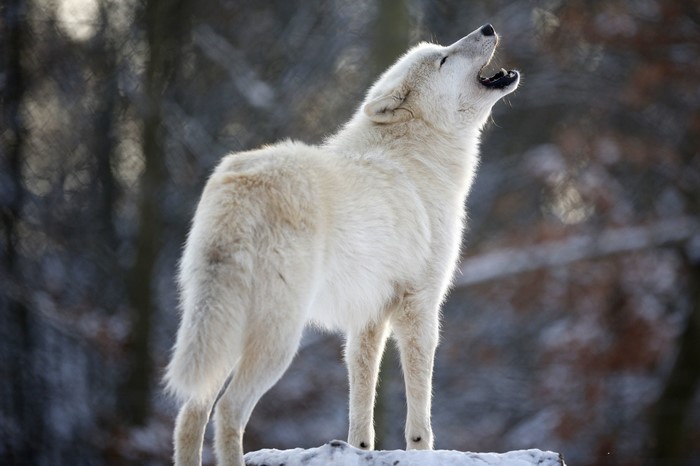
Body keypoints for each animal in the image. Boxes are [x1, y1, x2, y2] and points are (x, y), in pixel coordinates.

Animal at [166, 23, 519, 466]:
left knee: (189, 413)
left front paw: (358, 449)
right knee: (228, 410)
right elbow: (420, 405)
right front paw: (422, 450)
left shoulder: (368, 316)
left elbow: (361, 394)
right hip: (278, 339)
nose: (488, 27)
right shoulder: (419, 306)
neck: (418, 157)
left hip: (223, 330)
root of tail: (240, 185)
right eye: (443, 59)